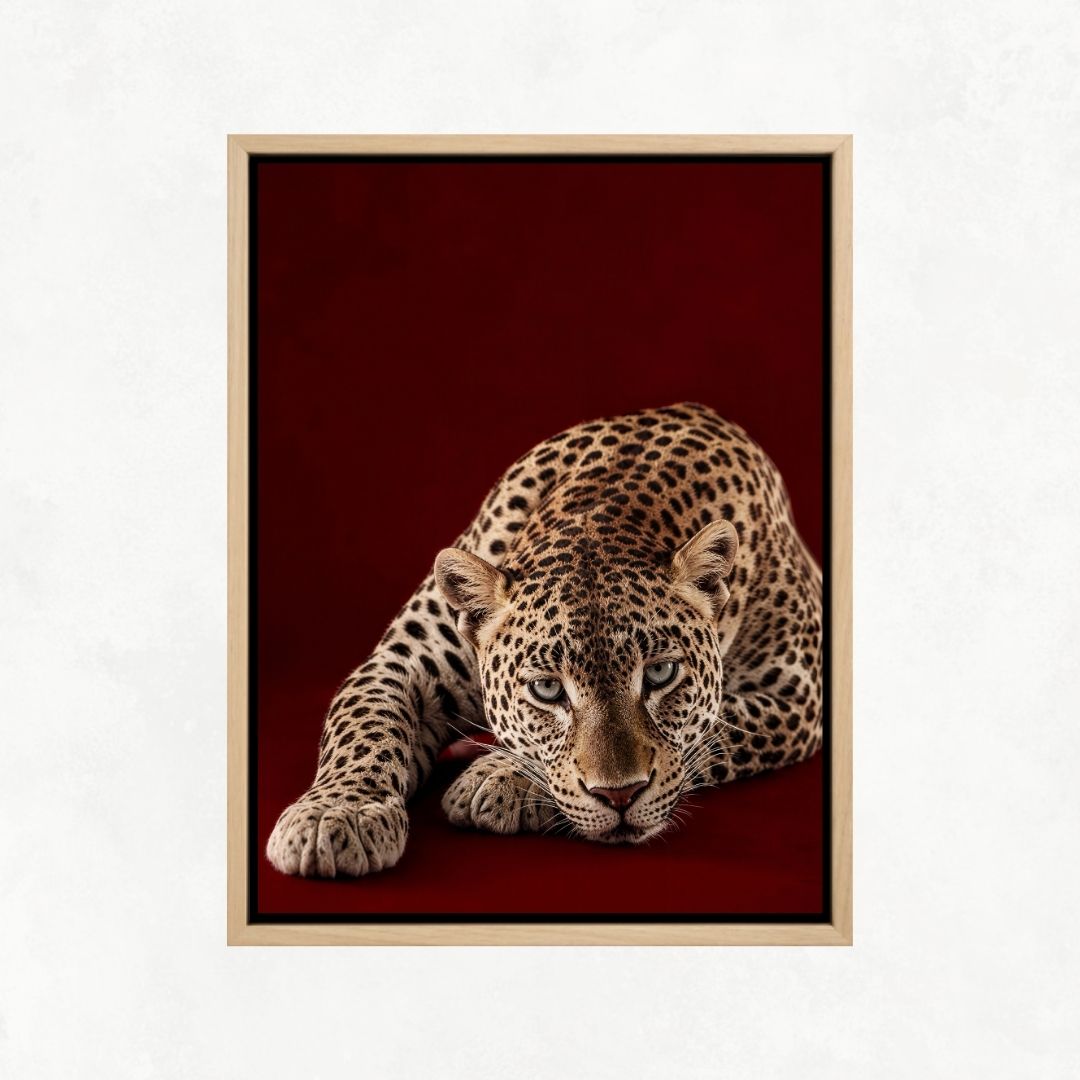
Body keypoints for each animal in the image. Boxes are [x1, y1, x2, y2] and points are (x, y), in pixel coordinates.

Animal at [266, 402, 823, 877]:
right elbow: (363, 723)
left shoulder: (797, 695)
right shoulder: (403, 663)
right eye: (548, 689)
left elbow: (714, 729)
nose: (621, 797)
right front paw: (335, 816)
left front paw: (497, 778)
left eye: (661, 673)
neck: (606, 511)